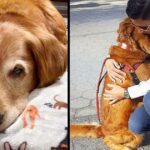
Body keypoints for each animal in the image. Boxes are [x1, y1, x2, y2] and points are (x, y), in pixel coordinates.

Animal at [70, 17, 150, 150]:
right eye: (144, 33)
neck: (130, 48)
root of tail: (102, 128)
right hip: (133, 132)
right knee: (109, 140)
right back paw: (126, 146)